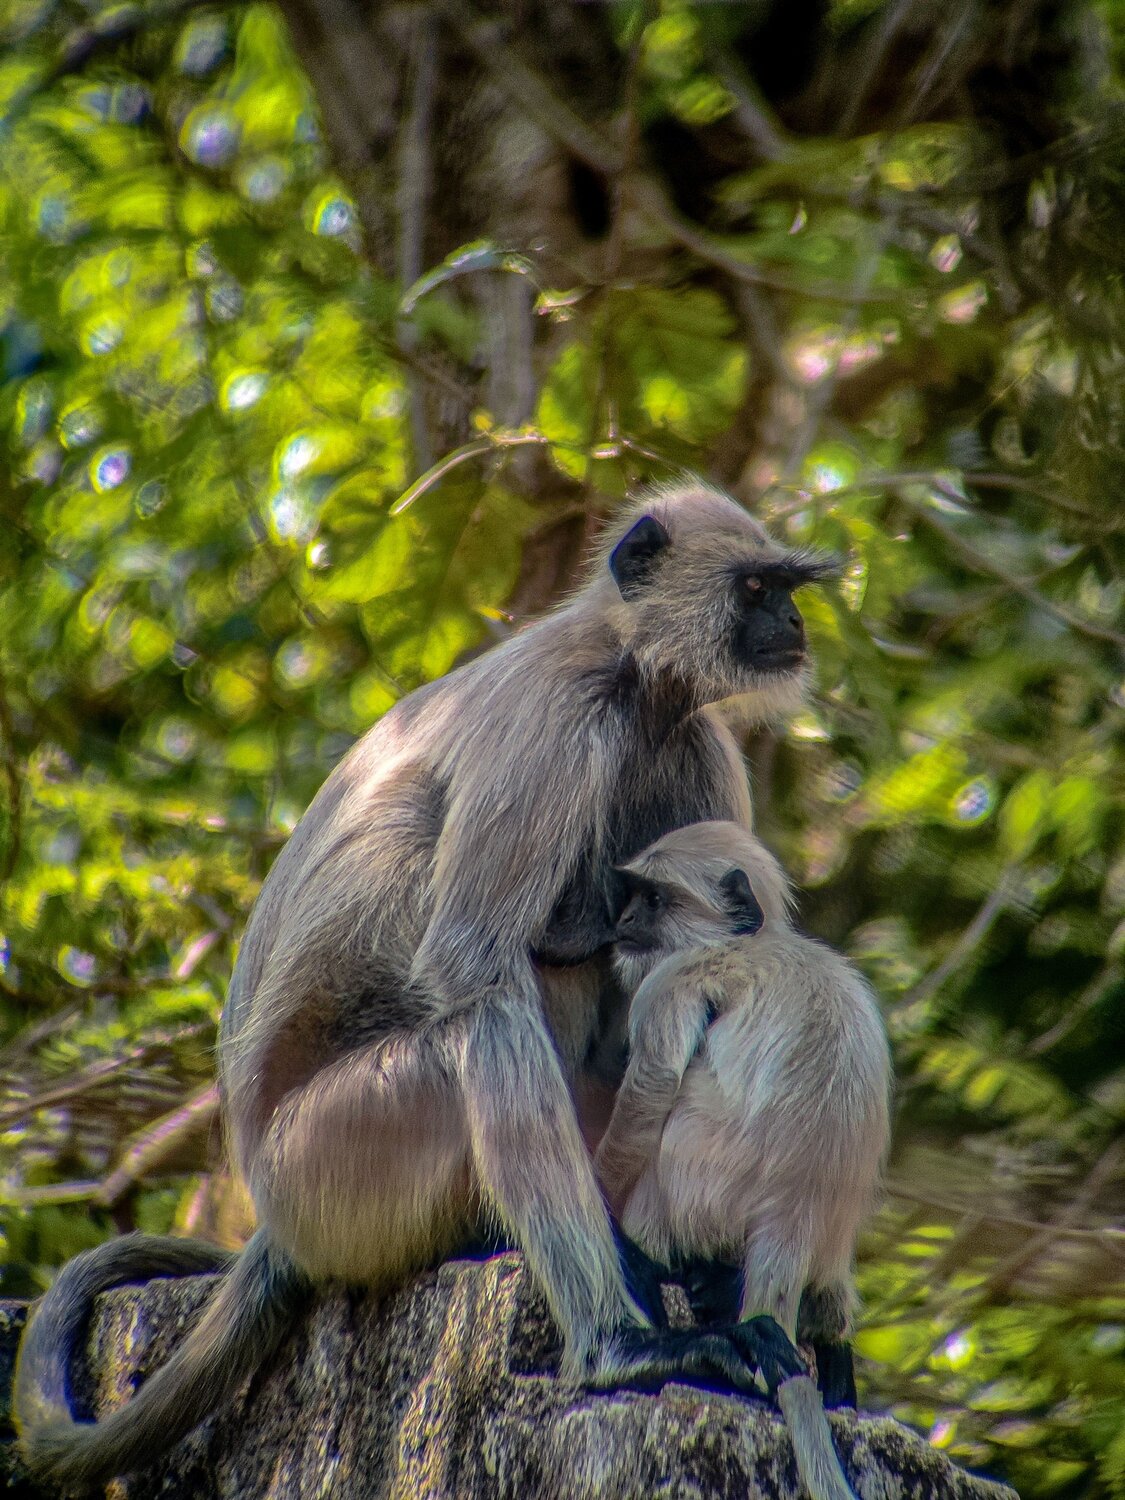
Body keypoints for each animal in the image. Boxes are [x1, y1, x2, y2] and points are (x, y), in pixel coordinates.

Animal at [16, 483, 834, 1490]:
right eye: (756, 587)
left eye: (784, 590)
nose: (792, 623)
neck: (628, 675)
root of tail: (274, 1197)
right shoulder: (555, 719)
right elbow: (474, 974)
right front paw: (626, 1335)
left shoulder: (693, 743)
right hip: (336, 1153)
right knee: (491, 1011)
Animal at [594, 820, 892, 1500]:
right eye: (634, 896)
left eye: (653, 900)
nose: (624, 919)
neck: (754, 940)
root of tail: (794, 1213)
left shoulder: (676, 977)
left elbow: (652, 1085)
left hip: (694, 1188)